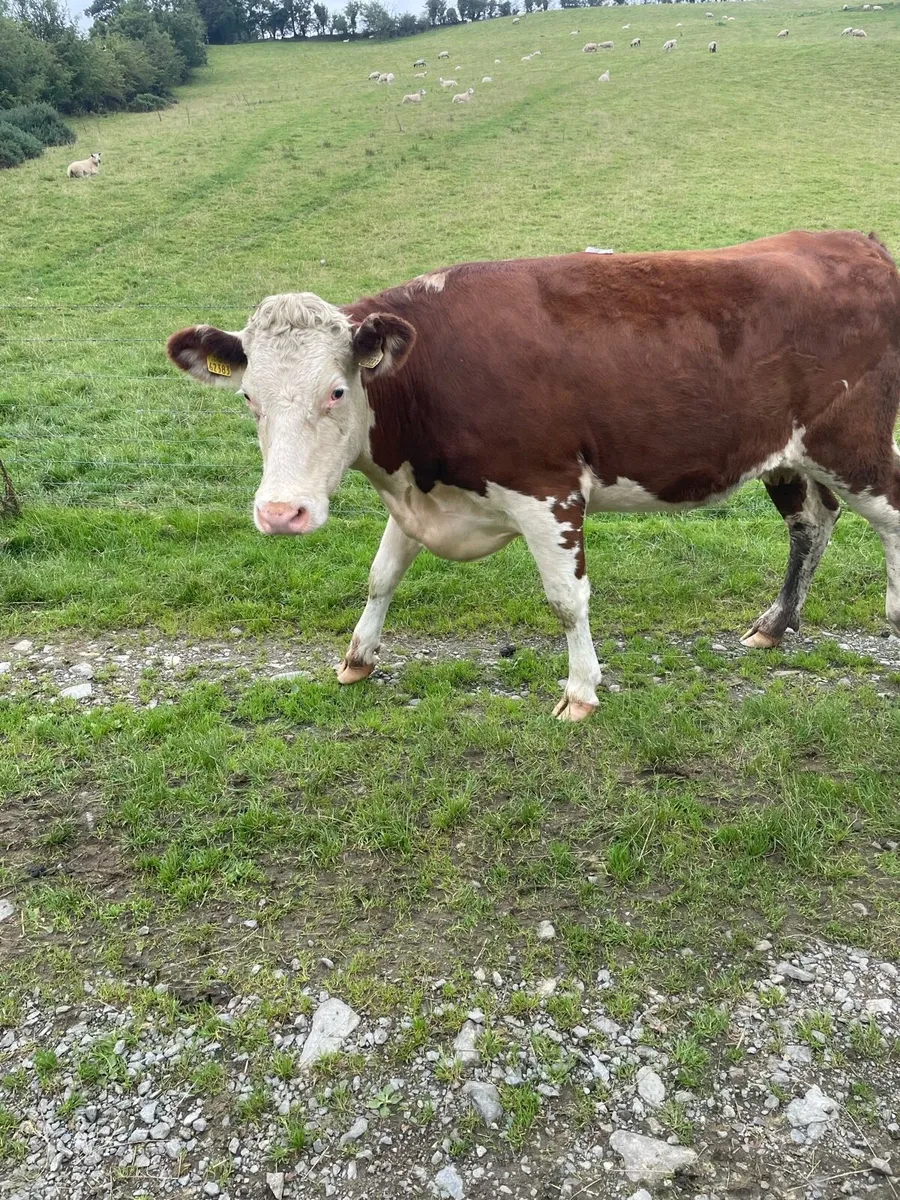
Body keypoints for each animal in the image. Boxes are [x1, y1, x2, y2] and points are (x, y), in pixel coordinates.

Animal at [167, 231, 900, 722]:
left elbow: (567, 598)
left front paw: (580, 693)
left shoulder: (548, 490)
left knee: (888, 515)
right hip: (784, 455)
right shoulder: (419, 496)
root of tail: (849, 241)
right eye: (249, 398)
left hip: (853, 444)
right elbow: (381, 576)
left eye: (337, 391)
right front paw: (357, 660)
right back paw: (775, 623)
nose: (280, 514)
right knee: (812, 523)